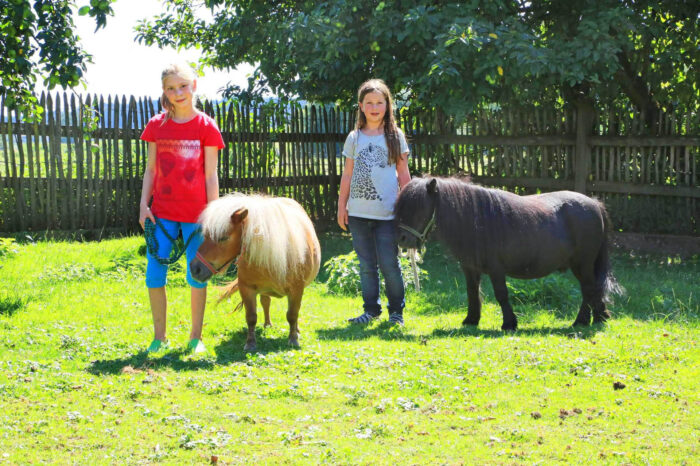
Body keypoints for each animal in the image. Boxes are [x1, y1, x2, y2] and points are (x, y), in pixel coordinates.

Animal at [191, 192, 322, 350]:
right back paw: (267, 324)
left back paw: (295, 330)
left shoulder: (296, 290)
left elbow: (292, 314)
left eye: (223, 238)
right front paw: (250, 343)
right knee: (266, 302)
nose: (195, 269)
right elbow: (251, 316)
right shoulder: (246, 288)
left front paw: (293, 339)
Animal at [394, 176, 624, 332]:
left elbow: (501, 294)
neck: (476, 220)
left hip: (582, 264)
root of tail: (595, 204)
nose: (402, 240)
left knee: (589, 289)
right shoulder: (470, 268)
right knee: (592, 290)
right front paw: (471, 320)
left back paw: (582, 321)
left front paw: (509, 323)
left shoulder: (497, 269)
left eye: (419, 208)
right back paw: (598, 318)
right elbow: (472, 292)